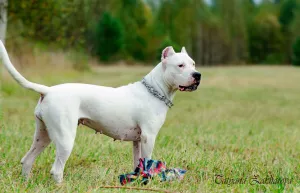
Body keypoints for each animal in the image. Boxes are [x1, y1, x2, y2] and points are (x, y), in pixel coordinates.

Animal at [1, 40, 202, 182]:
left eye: (193, 64)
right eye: (180, 65)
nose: (197, 75)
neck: (155, 90)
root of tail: (48, 90)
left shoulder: (137, 141)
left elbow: (137, 163)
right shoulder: (148, 137)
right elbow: (147, 162)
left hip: (43, 135)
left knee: (27, 160)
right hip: (65, 138)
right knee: (56, 169)